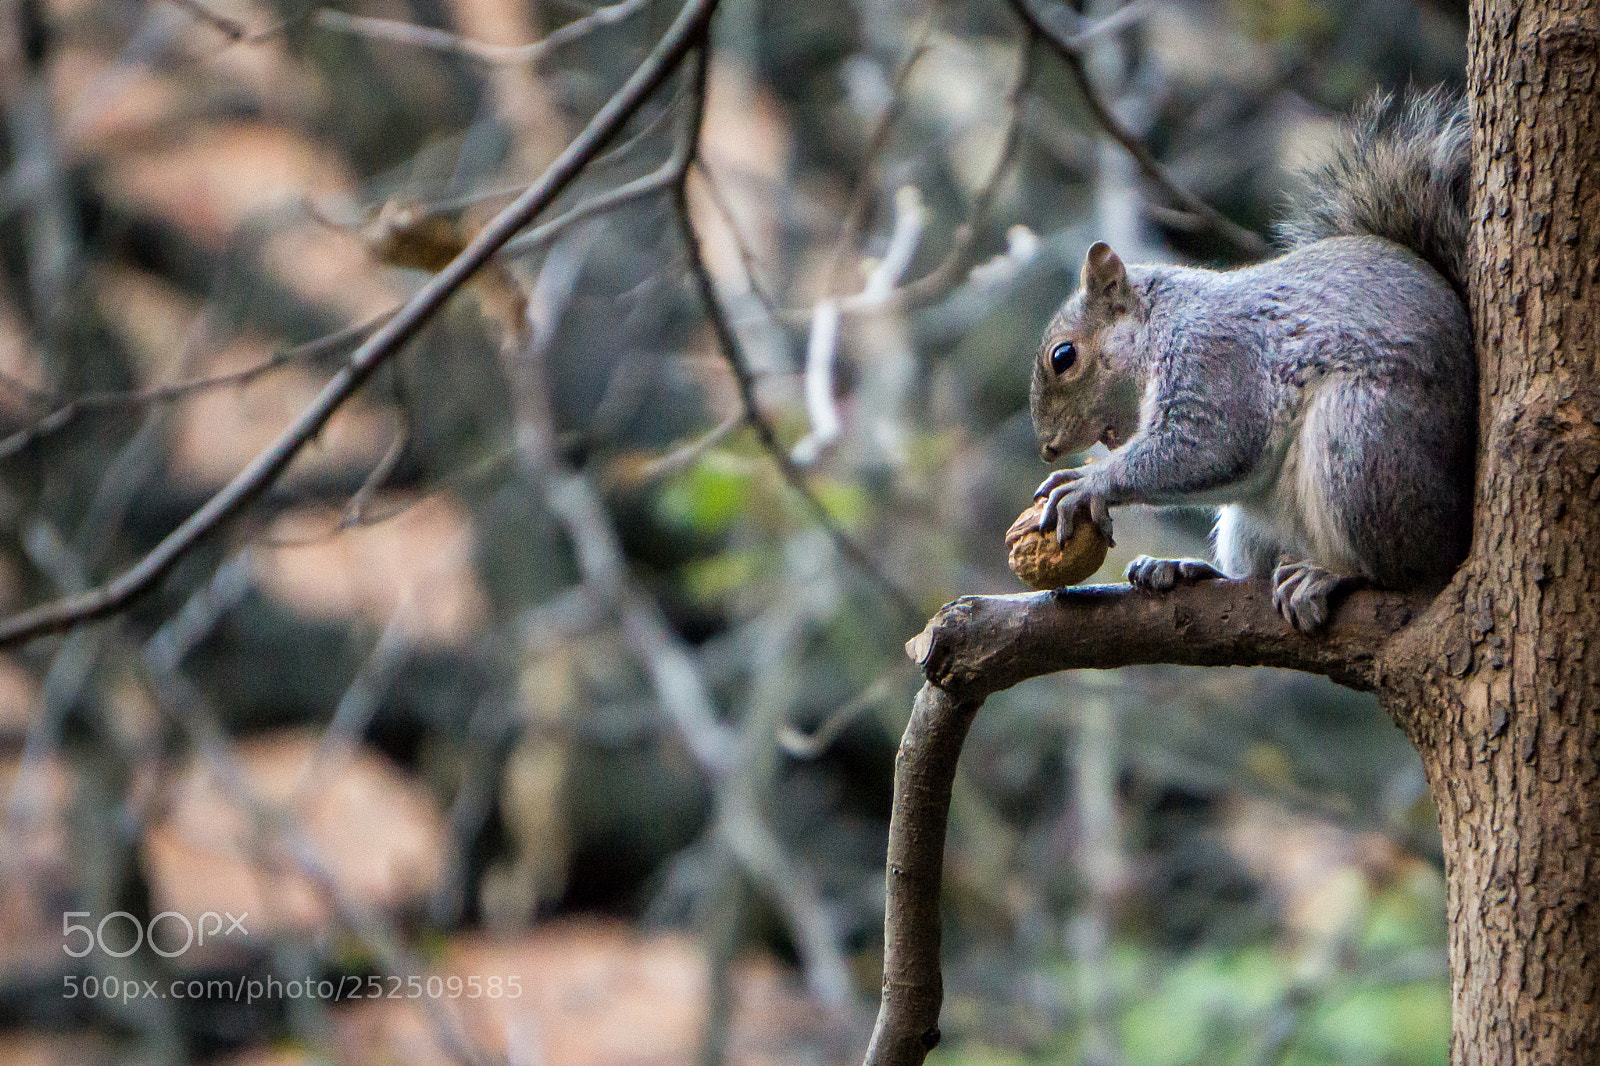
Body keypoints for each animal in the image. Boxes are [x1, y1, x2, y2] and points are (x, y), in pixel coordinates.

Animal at [1029, 90, 1475, 632]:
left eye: (1063, 356)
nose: (1049, 449)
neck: (1159, 324)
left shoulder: (1215, 356)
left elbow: (1213, 443)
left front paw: (1087, 483)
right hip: (1255, 518)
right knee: (1254, 569)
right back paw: (1186, 570)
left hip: (1362, 441)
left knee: (1400, 567)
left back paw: (1331, 575)